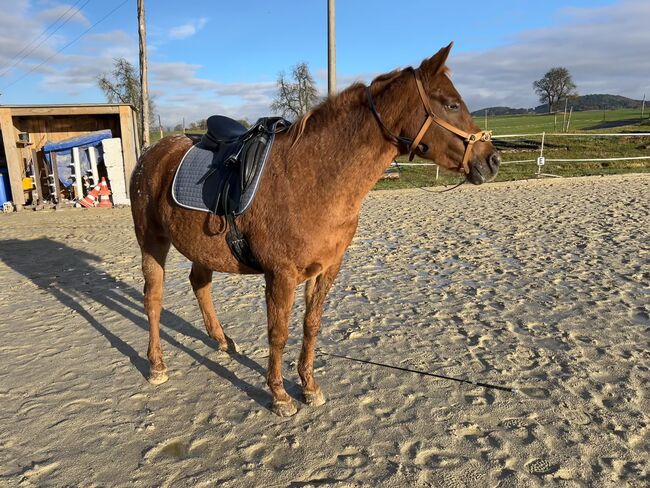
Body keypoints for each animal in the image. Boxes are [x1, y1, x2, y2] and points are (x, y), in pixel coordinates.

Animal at [130, 43, 500, 417]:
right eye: (451, 104)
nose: (492, 160)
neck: (312, 178)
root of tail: (153, 152)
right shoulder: (281, 274)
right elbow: (278, 332)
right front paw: (279, 395)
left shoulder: (326, 269)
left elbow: (311, 325)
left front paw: (309, 386)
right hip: (152, 242)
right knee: (153, 298)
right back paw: (157, 365)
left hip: (201, 246)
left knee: (199, 283)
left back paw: (221, 341)